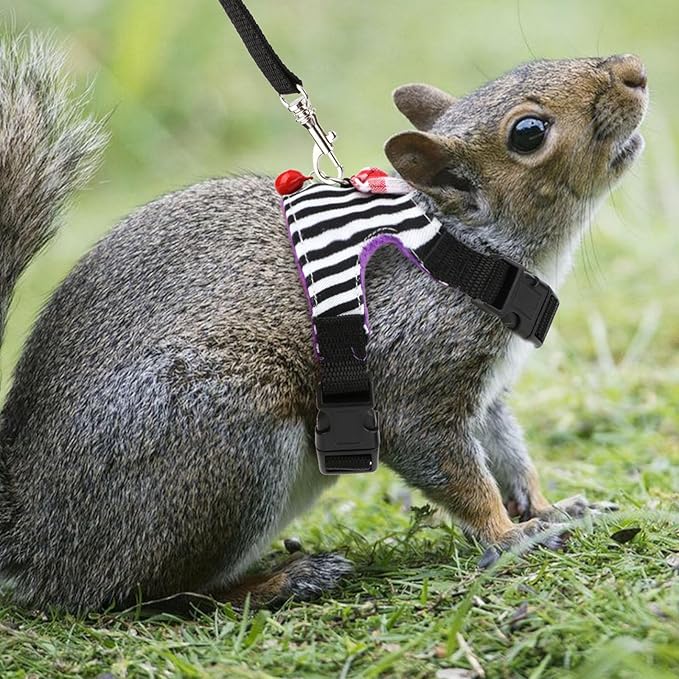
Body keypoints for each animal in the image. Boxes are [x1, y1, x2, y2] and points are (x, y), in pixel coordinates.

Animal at [0, 33, 647, 613]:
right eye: (529, 133)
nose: (634, 70)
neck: (459, 247)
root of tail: (30, 532)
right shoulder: (413, 372)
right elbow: (449, 466)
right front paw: (510, 536)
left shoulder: (487, 392)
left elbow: (509, 453)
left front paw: (548, 508)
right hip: (222, 444)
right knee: (144, 595)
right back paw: (282, 581)